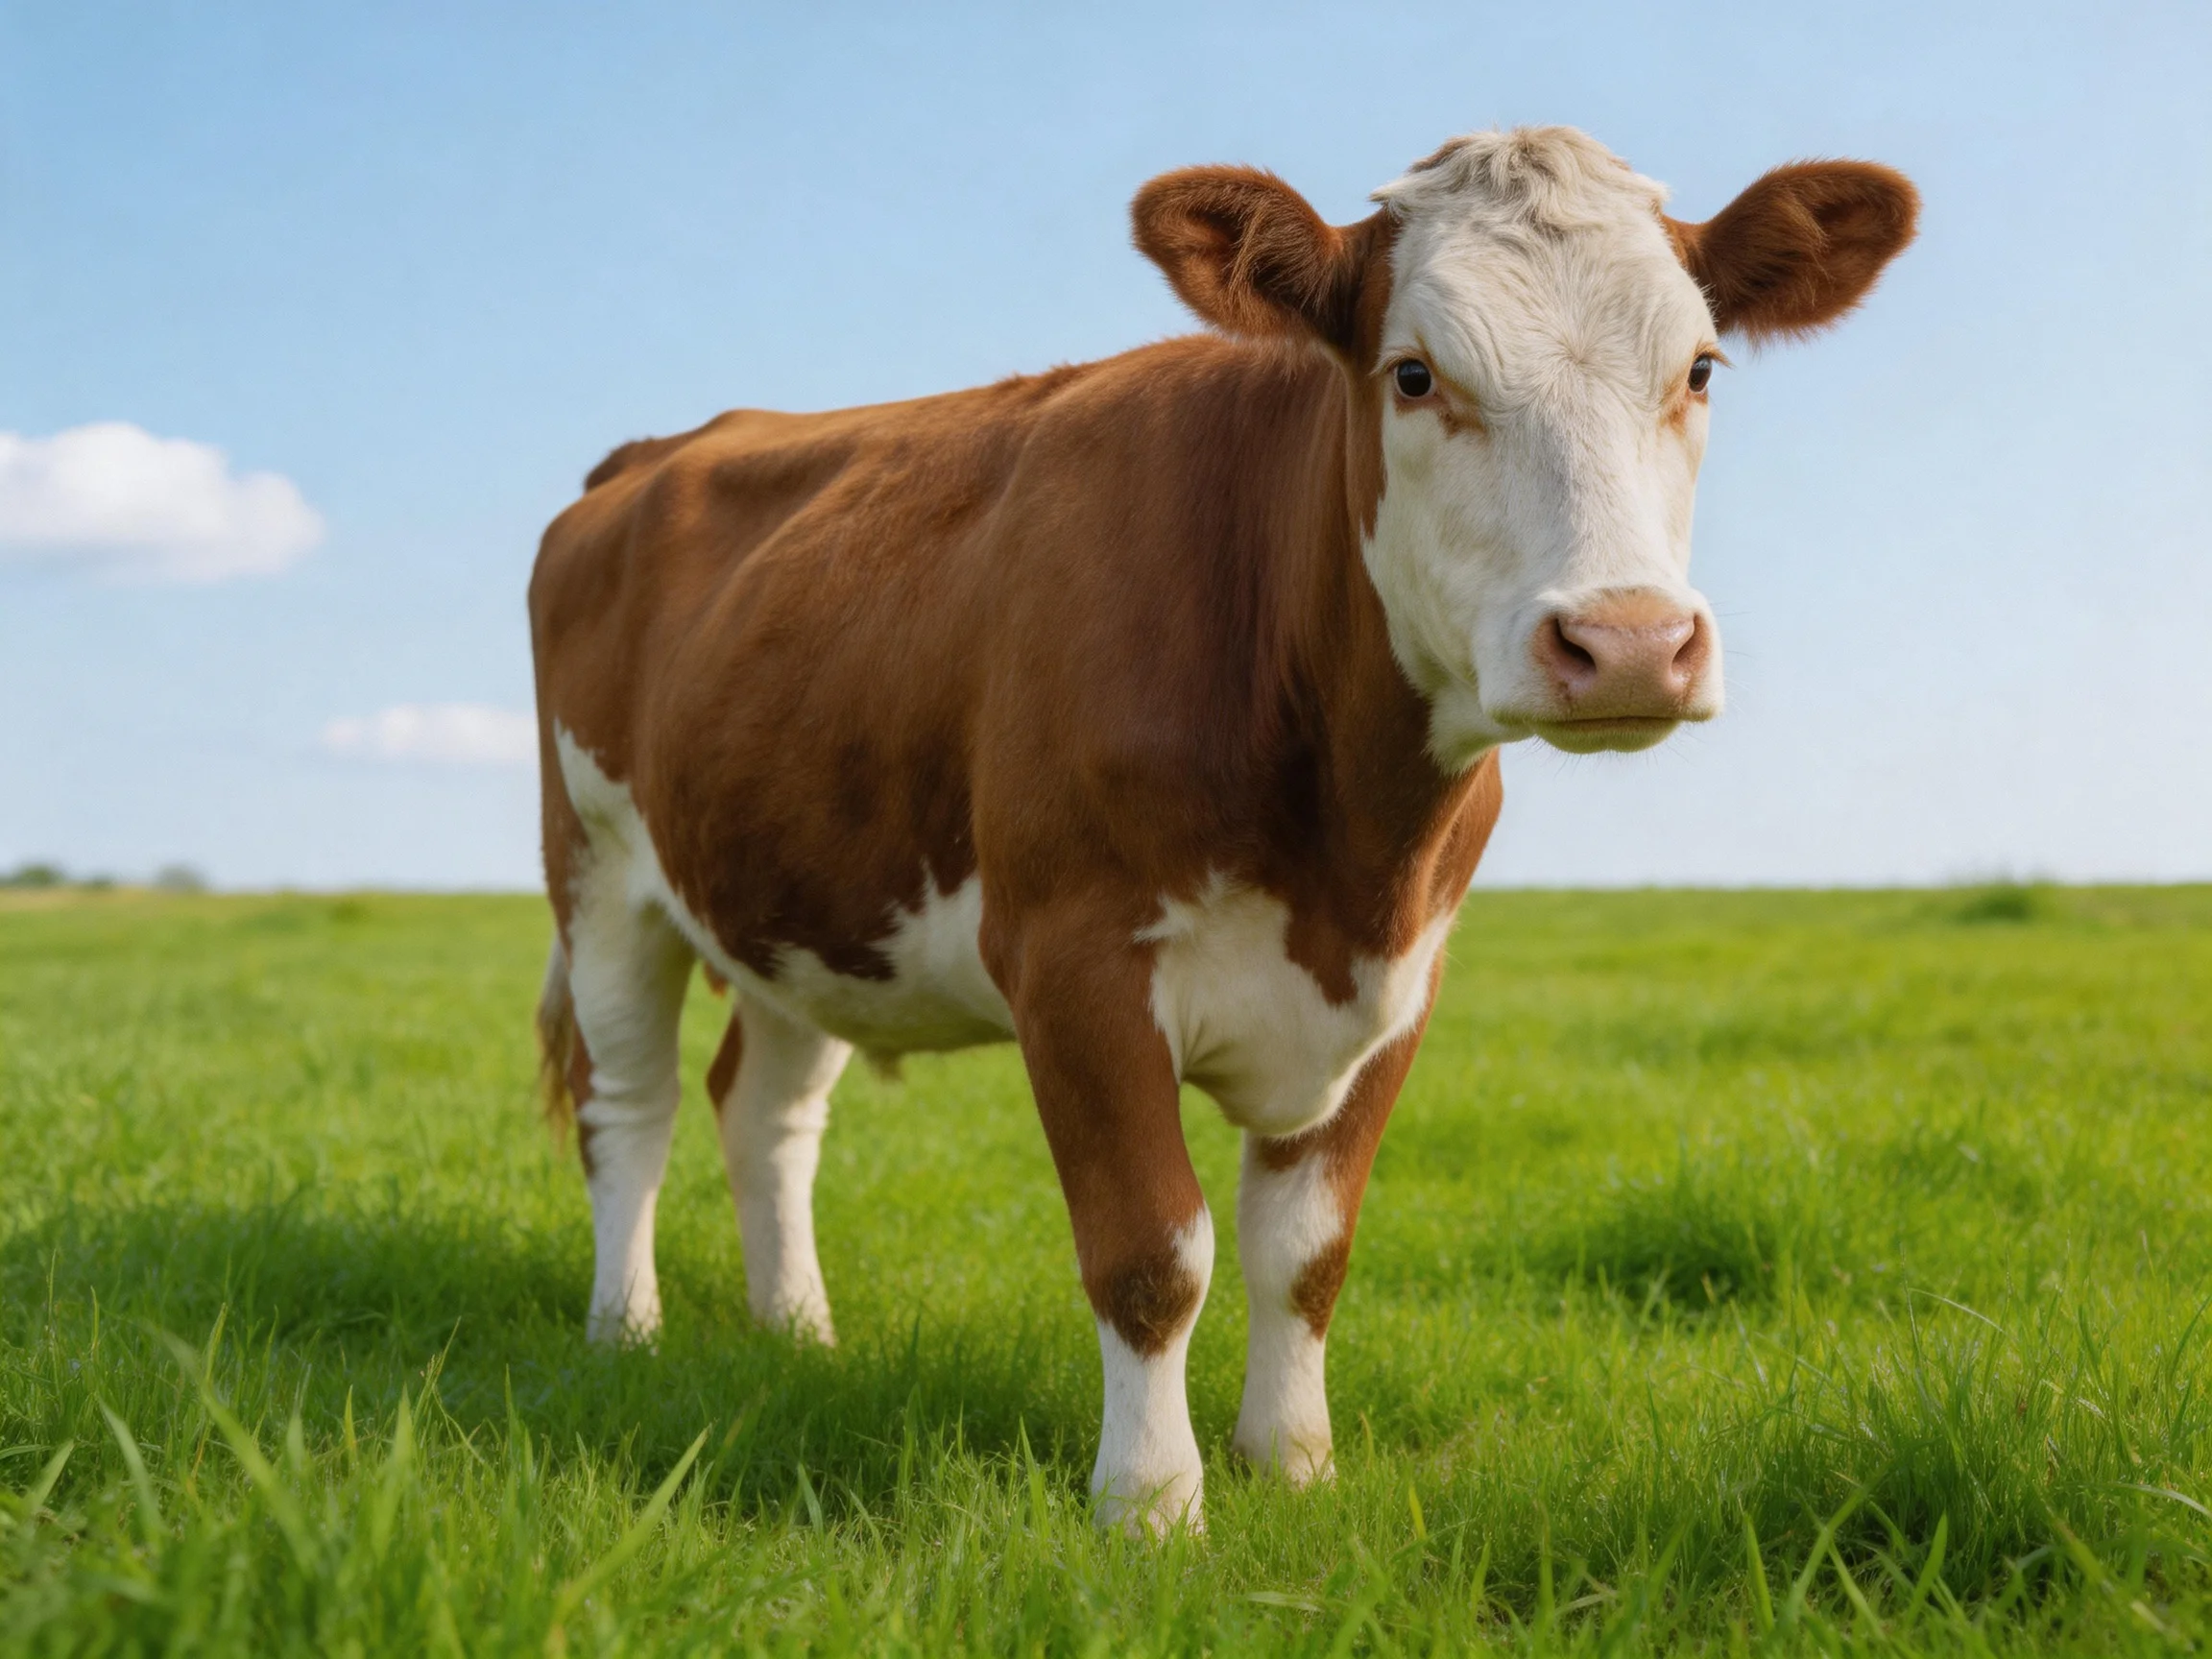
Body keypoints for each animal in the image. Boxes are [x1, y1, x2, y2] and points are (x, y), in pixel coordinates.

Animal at [529, 126, 1917, 1532]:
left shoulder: (1402, 979)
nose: (1629, 641)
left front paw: (1292, 1463)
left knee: (763, 1111)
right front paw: (1150, 1505)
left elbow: (1306, 1249)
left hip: (804, 903)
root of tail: (652, 452)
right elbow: (1153, 1250)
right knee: (626, 1099)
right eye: (1414, 373)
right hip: (597, 872)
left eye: (1698, 369)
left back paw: (798, 1335)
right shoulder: (1073, 959)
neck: (1343, 845)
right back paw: (623, 1335)